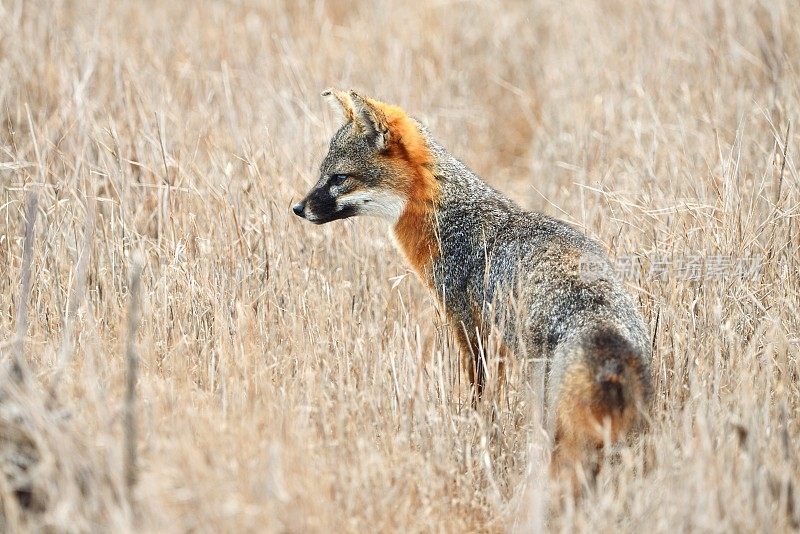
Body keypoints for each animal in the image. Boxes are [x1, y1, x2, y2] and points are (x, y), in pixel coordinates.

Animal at [292, 90, 648, 484]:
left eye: (339, 177)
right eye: (322, 174)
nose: (297, 208)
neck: (454, 219)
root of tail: (600, 323)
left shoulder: (472, 333)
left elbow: (481, 404)